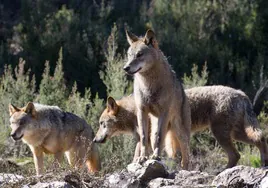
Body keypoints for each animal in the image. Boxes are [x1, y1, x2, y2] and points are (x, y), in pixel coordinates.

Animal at [93, 85, 268, 169]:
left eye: (102, 124)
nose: (94, 140)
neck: (133, 111)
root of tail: (241, 94)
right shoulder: (150, 139)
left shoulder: (149, 138)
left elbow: (138, 156)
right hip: (235, 134)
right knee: (258, 140)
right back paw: (263, 163)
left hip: (221, 134)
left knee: (237, 154)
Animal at [122, 29, 192, 170]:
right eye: (129, 55)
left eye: (139, 55)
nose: (125, 68)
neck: (148, 85)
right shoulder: (141, 111)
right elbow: (143, 138)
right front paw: (143, 158)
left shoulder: (164, 112)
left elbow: (160, 137)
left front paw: (155, 157)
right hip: (155, 125)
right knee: (154, 140)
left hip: (180, 132)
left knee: (185, 155)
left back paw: (184, 169)